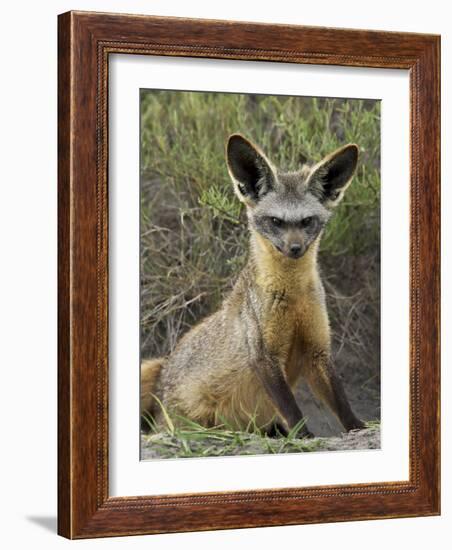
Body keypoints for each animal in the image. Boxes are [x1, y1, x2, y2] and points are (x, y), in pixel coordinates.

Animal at [140, 135, 364, 440]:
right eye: (276, 221)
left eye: (307, 221)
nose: (295, 248)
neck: (292, 298)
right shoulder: (263, 355)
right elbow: (291, 409)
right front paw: (304, 437)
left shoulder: (317, 350)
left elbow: (341, 402)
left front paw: (358, 427)